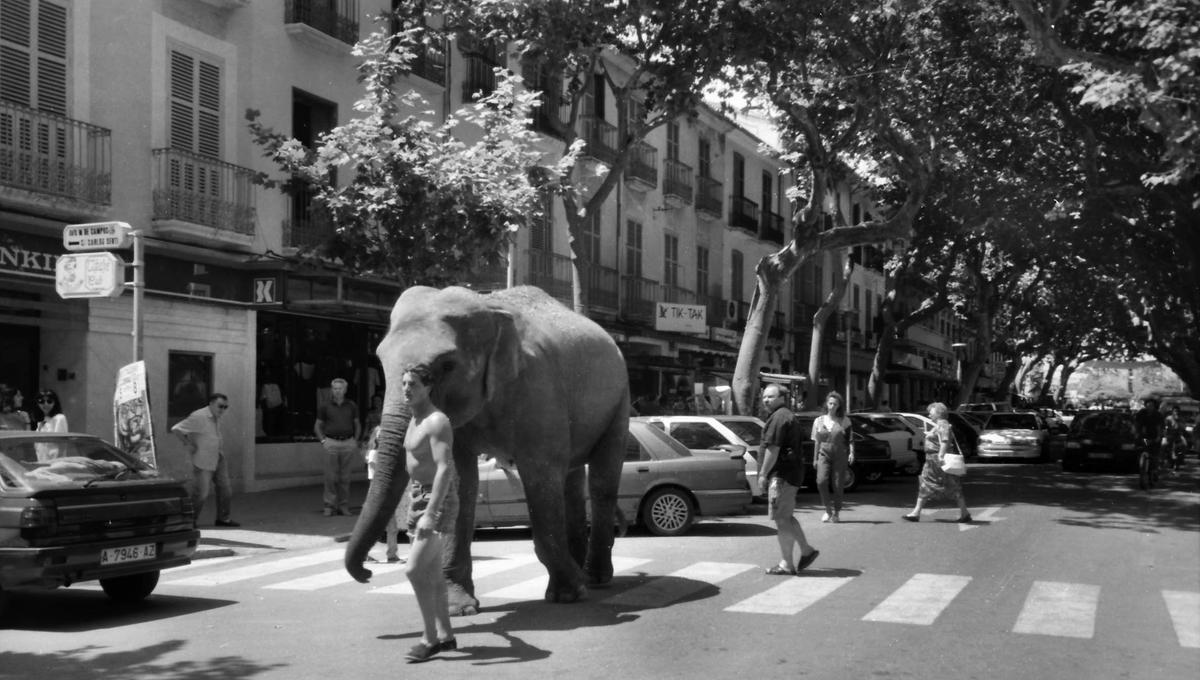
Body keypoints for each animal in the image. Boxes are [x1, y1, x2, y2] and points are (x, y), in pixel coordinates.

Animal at [344, 285, 630, 615]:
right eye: (379, 357)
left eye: (447, 365)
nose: (366, 573)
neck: (488, 306)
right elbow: (459, 480)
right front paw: (459, 607)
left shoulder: (540, 389)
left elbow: (541, 476)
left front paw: (569, 594)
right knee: (572, 480)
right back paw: (582, 570)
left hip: (619, 398)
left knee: (601, 480)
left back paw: (594, 578)